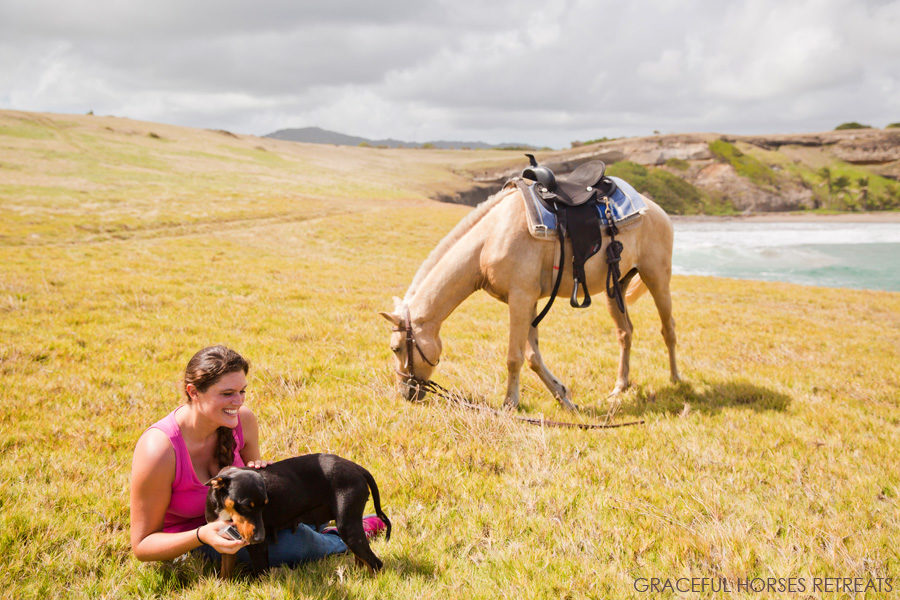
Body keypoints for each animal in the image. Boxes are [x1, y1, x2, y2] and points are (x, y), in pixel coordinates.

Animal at [207, 454, 390, 576]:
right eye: (246, 505)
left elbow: (261, 574)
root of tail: (356, 467)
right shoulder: (226, 543)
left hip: (347, 528)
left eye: (265, 505)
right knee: (363, 559)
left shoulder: (257, 548)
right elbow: (225, 572)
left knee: (376, 564)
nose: (260, 537)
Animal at [380, 182, 684, 408]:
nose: (406, 394)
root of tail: (656, 210)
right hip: (615, 289)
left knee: (668, 328)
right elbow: (532, 356)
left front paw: (510, 403)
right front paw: (564, 397)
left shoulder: (521, 298)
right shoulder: (526, 301)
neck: (490, 239)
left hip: (657, 277)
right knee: (625, 333)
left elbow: (514, 357)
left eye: (396, 348)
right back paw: (620, 387)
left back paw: (676, 380)